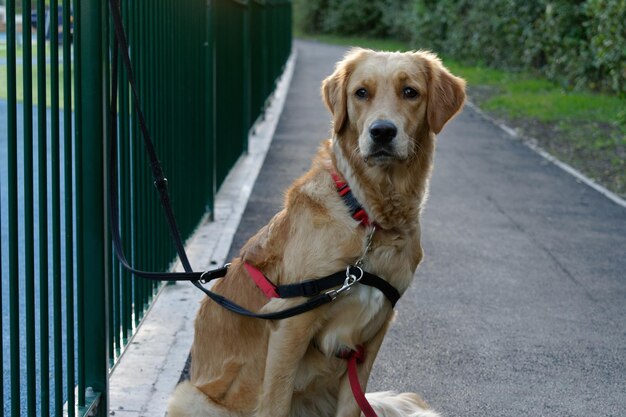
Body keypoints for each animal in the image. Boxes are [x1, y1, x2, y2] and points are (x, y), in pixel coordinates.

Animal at [167, 47, 464, 414]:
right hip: (189, 396)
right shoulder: (291, 323)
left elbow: (352, 406)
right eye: (361, 93)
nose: (382, 131)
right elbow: (275, 402)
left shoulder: (374, 333)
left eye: (410, 91)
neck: (368, 216)